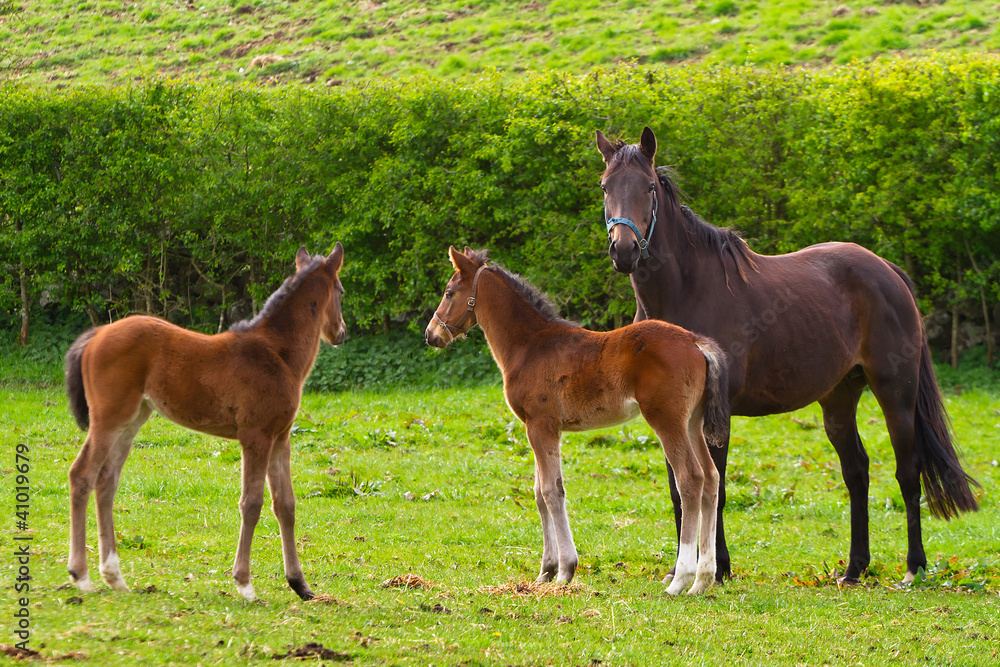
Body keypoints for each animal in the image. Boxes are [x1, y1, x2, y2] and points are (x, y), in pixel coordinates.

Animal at [65, 244, 348, 600]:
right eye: (341, 290)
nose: (341, 333)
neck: (277, 354)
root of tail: (97, 333)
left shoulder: (280, 438)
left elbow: (285, 505)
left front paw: (300, 585)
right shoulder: (255, 436)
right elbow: (252, 503)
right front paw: (244, 583)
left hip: (131, 422)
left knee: (106, 482)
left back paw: (115, 577)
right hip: (108, 419)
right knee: (82, 475)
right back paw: (82, 576)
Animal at [422, 247, 728, 596]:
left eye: (449, 292)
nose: (431, 335)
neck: (528, 346)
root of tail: (696, 342)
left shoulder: (540, 425)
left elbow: (551, 491)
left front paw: (565, 569)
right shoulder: (542, 428)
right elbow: (539, 493)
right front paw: (546, 570)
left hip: (667, 419)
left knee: (690, 478)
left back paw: (680, 580)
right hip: (692, 422)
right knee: (711, 477)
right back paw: (703, 579)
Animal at [596, 125, 980, 584]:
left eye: (650, 187)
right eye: (605, 187)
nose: (624, 251)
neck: (687, 292)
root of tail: (887, 270)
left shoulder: (714, 414)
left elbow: (713, 486)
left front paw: (718, 568)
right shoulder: (671, 412)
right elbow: (680, 489)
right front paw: (680, 569)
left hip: (895, 395)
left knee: (908, 472)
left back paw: (914, 567)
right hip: (838, 398)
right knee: (857, 471)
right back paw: (854, 568)